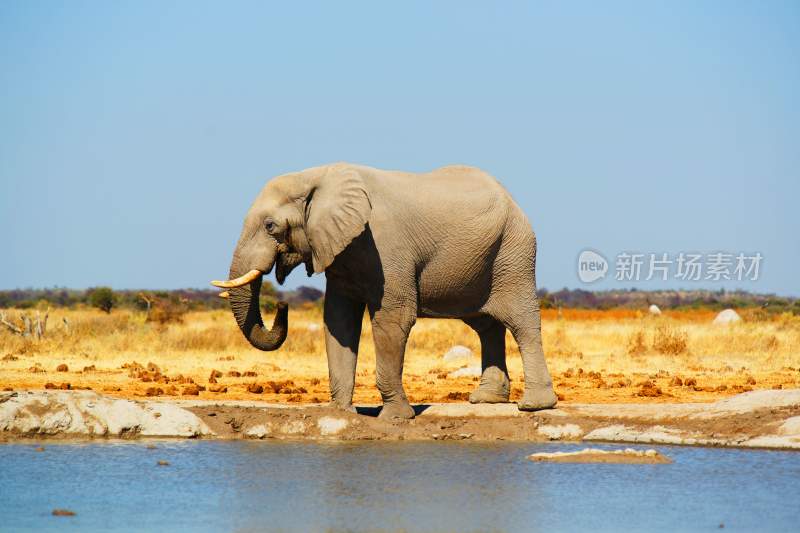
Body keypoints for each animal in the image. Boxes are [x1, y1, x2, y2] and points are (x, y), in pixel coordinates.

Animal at [212, 162, 556, 420]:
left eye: (270, 226)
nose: (283, 305)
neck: (316, 176)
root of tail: (511, 198)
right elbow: (339, 321)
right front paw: (341, 412)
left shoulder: (385, 246)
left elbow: (392, 320)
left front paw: (395, 418)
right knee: (486, 325)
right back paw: (485, 400)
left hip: (514, 253)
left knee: (522, 323)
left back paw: (534, 406)